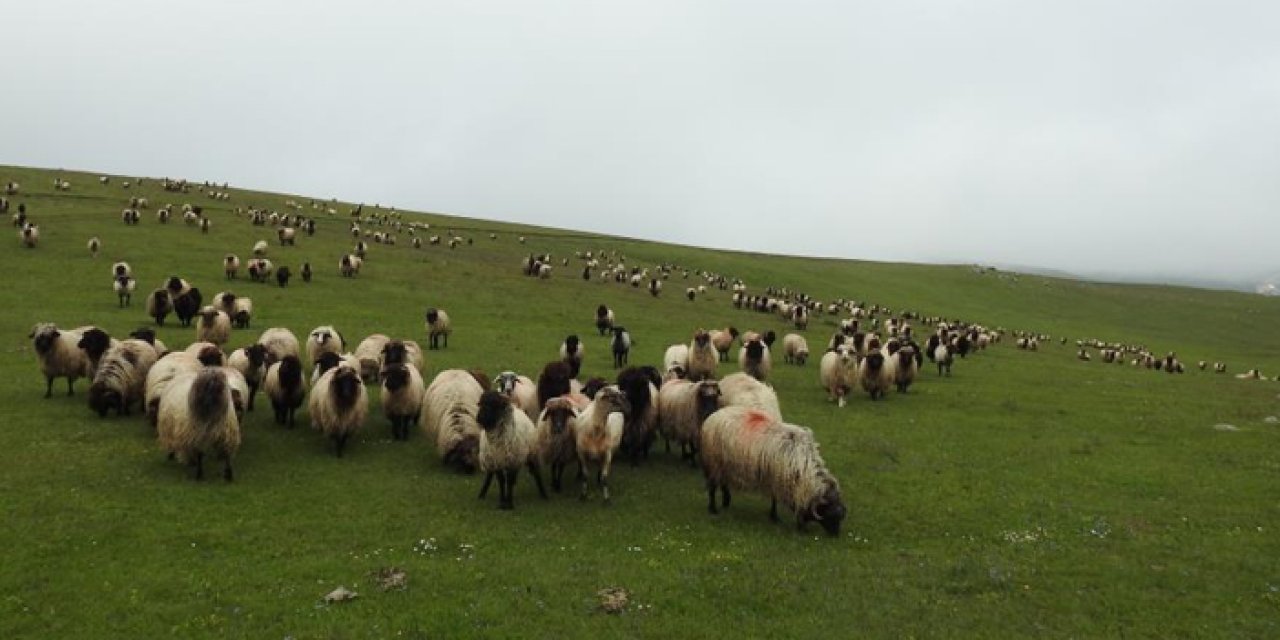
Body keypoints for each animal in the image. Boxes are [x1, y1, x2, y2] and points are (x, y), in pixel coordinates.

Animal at [696, 404, 844, 535]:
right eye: (831, 515)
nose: (835, 535)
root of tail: (715, 415)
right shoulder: (777, 479)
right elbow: (776, 499)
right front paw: (776, 517)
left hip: (725, 465)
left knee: (723, 483)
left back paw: (726, 501)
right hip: (714, 462)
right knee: (712, 487)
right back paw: (713, 509)